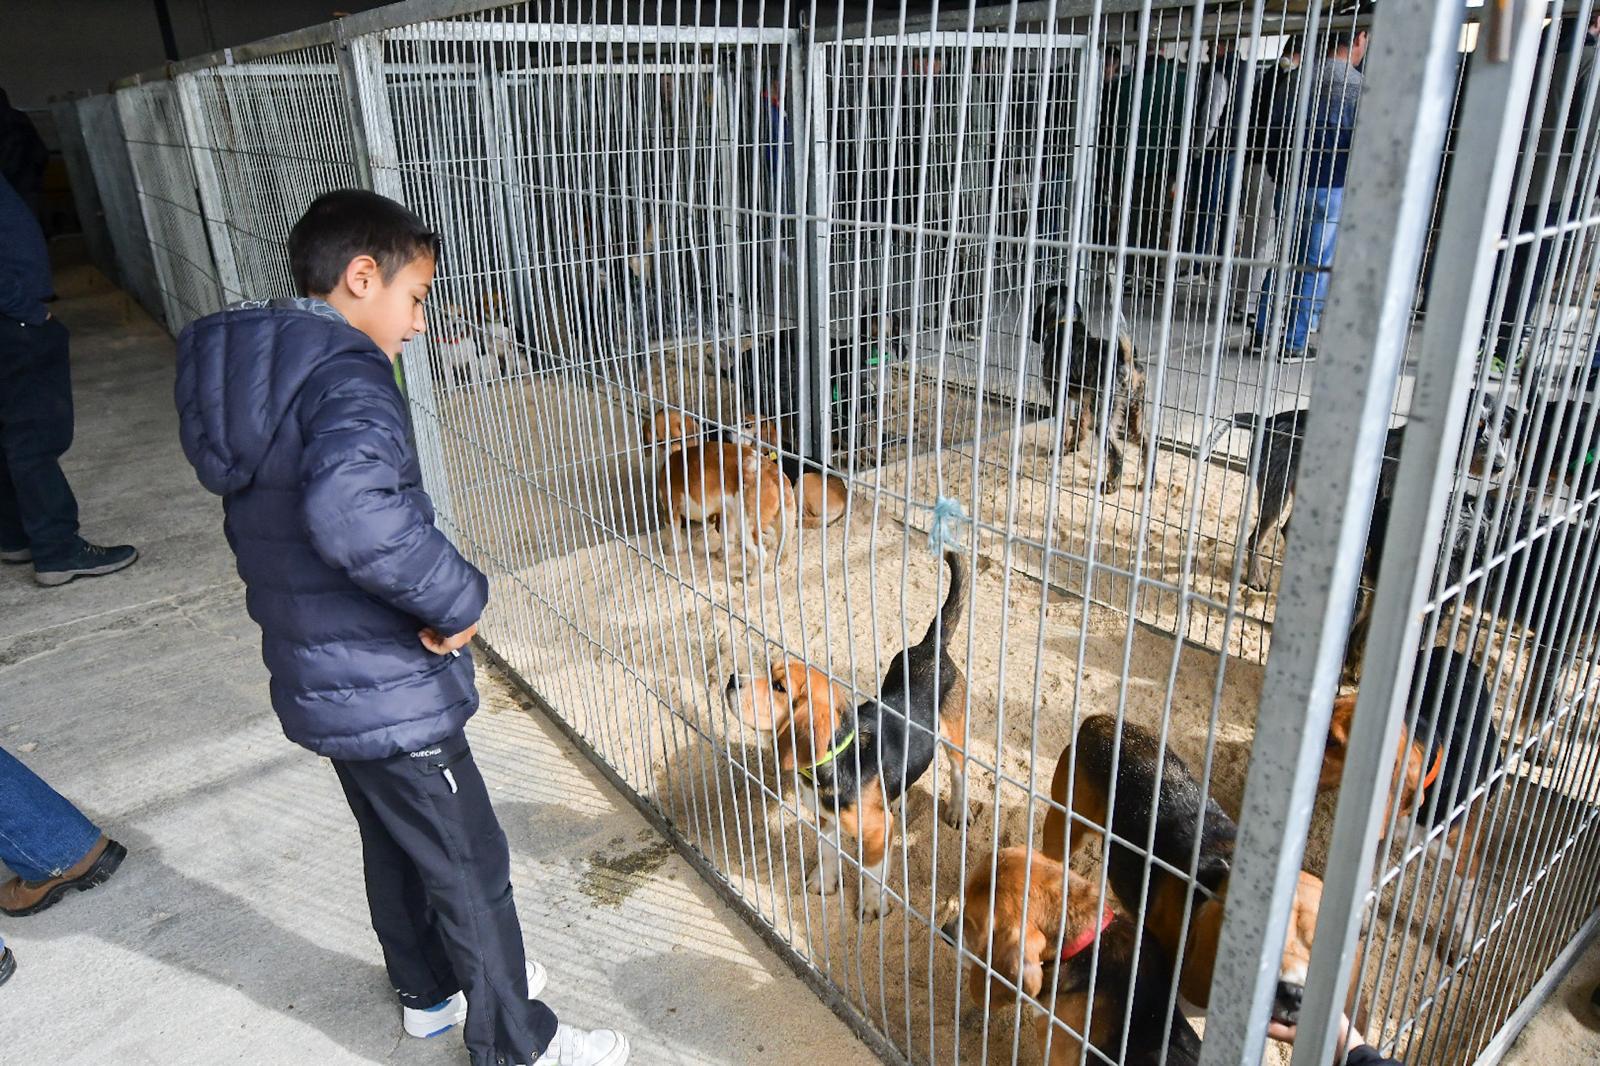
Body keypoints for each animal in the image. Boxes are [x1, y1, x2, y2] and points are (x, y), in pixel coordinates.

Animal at [723, 547, 966, 915]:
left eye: (779, 687)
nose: (732, 680)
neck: (837, 757)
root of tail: (929, 647)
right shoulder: (825, 818)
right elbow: (827, 851)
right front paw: (823, 883)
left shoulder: (879, 834)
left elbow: (872, 871)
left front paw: (872, 906)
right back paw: (899, 800)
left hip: (955, 735)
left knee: (957, 773)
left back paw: (957, 813)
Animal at [1030, 286, 1145, 492]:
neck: (1065, 323)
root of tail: (1125, 360)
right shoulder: (1083, 399)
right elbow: (1080, 424)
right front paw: (1073, 446)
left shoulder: (1059, 396)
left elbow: (1062, 427)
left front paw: (1059, 451)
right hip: (1134, 412)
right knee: (1148, 446)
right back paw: (1149, 483)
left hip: (1104, 415)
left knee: (1117, 453)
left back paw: (1111, 484)